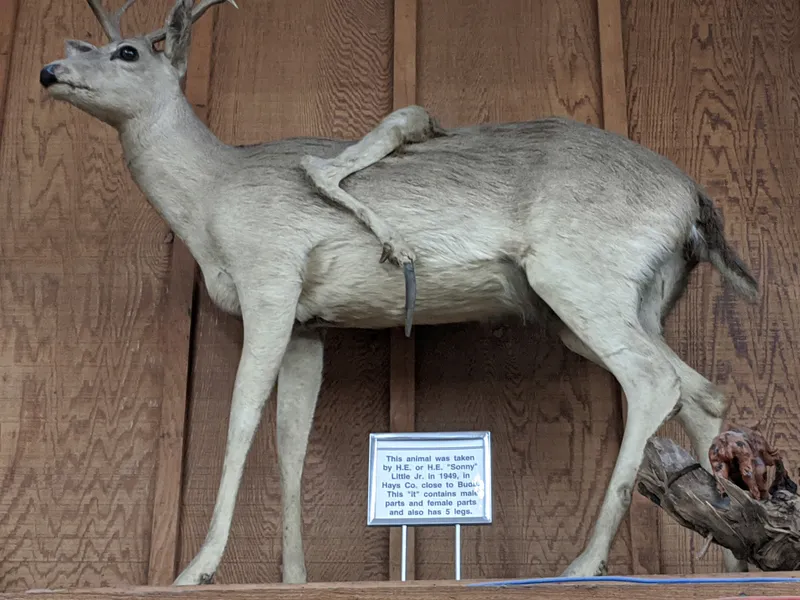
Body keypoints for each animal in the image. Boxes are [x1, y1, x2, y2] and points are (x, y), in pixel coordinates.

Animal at [38, 0, 759, 586]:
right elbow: (290, 439)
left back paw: (582, 566)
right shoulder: (309, 327)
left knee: (654, 381)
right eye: (85, 44)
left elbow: (241, 417)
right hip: (622, 308)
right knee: (704, 390)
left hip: (580, 283)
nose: (48, 71)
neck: (213, 193)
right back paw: (731, 562)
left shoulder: (270, 284)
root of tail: (694, 200)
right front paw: (293, 578)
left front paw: (198, 570)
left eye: (128, 52)